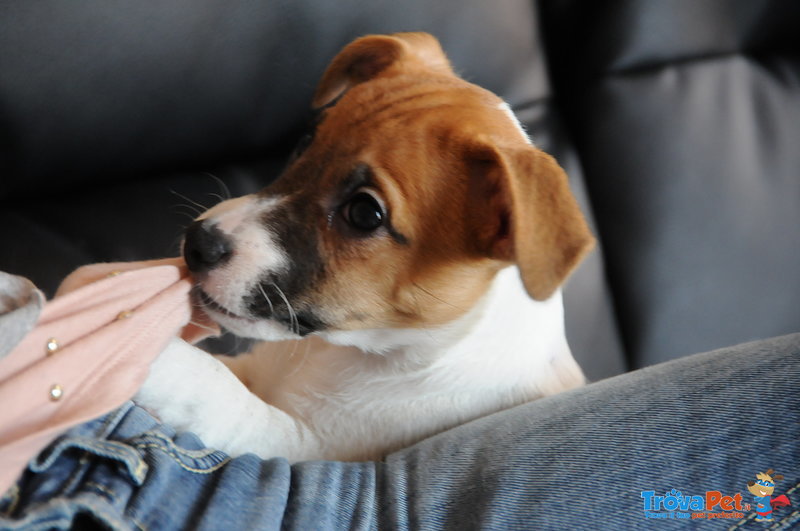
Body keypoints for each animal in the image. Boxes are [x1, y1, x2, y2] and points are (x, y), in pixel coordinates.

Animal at [134, 32, 592, 462]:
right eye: (304, 144)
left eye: (365, 213)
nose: (198, 244)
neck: (348, 355)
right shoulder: (255, 371)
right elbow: (223, 370)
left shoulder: (303, 444)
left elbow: (211, 386)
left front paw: (146, 350)